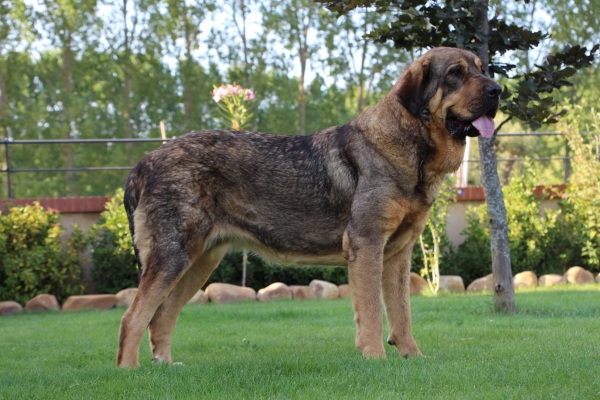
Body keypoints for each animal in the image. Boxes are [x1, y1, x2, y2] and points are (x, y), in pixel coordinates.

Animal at [117, 46, 502, 366]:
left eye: (482, 69)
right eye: (455, 73)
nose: (498, 90)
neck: (412, 147)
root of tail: (143, 162)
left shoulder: (397, 254)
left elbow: (401, 314)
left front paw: (412, 357)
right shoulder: (367, 244)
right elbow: (372, 312)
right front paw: (376, 358)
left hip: (199, 262)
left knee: (161, 316)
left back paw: (166, 368)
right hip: (173, 256)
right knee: (132, 317)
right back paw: (130, 372)